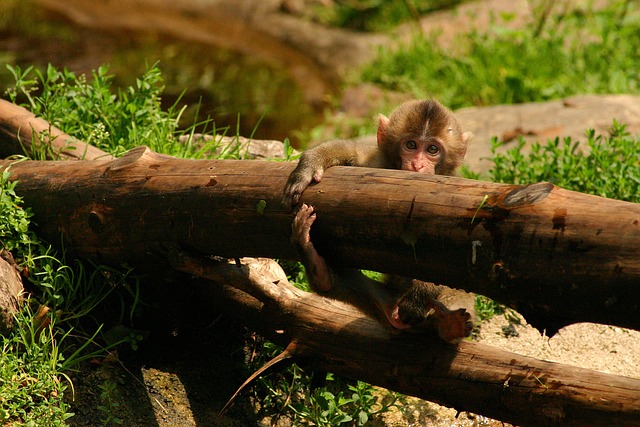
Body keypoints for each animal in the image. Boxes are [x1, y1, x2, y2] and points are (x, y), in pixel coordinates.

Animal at [282, 98, 472, 342]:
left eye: (432, 149)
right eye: (411, 145)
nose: (417, 165)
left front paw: (419, 296)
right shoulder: (377, 164)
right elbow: (353, 152)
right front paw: (308, 165)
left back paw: (448, 326)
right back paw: (319, 268)